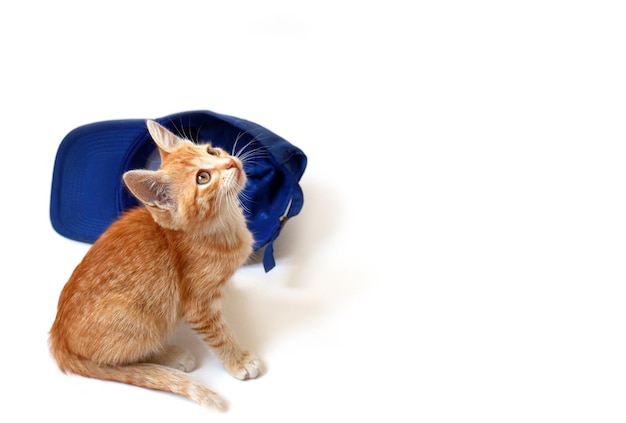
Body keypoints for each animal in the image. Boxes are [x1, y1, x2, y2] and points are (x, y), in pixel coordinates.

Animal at [48, 119, 260, 410]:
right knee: (120, 361)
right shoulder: (198, 306)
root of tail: (59, 339)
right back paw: (172, 356)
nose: (231, 162)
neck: (222, 225)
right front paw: (237, 360)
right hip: (144, 318)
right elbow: (219, 334)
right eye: (203, 178)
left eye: (212, 151)